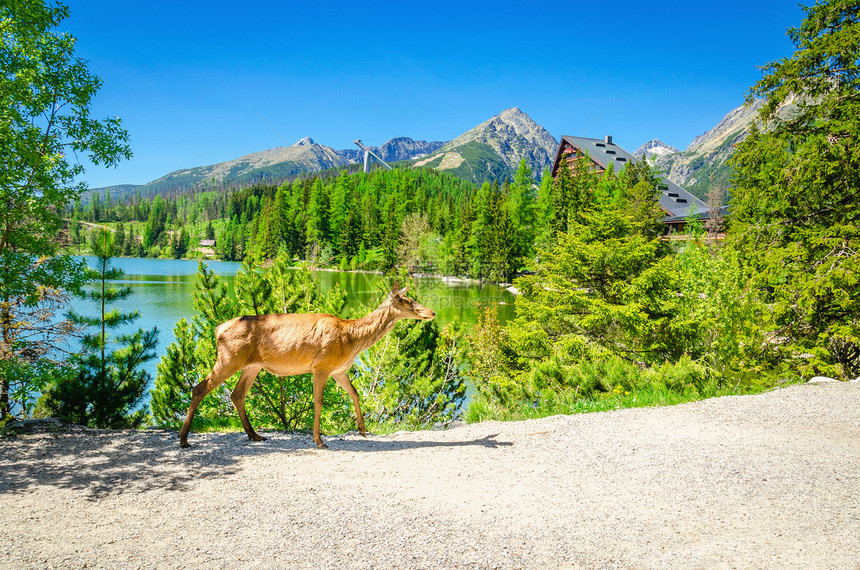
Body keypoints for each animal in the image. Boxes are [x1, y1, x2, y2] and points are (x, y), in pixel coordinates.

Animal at [181, 284, 436, 448]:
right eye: (407, 301)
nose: (432, 312)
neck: (352, 339)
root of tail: (217, 330)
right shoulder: (322, 365)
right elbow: (319, 401)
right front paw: (319, 440)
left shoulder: (339, 370)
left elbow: (354, 393)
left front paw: (362, 429)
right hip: (229, 358)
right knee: (199, 388)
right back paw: (184, 440)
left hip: (252, 366)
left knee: (237, 394)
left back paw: (255, 436)